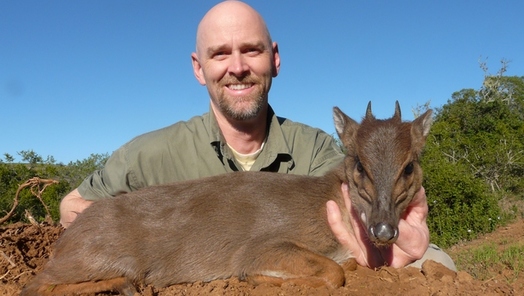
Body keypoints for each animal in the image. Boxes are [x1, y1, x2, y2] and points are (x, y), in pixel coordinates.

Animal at [21, 101, 430, 294]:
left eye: (409, 166)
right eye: (358, 163)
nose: (383, 230)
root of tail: (64, 241)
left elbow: (343, 269)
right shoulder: (261, 245)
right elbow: (332, 273)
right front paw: (260, 280)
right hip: (100, 256)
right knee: (34, 285)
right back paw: (123, 285)